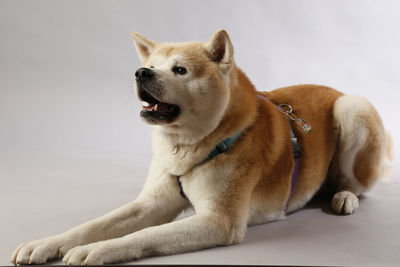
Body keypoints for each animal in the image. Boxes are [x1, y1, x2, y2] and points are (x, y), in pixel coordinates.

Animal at [10, 29, 392, 266]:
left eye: (179, 70)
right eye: (151, 65)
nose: (140, 72)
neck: (187, 146)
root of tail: (336, 89)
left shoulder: (219, 221)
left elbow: (146, 234)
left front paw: (97, 250)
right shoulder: (152, 201)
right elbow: (92, 224)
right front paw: (46, 243)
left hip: (353, 108)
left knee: (356, 183)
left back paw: (344, 196)